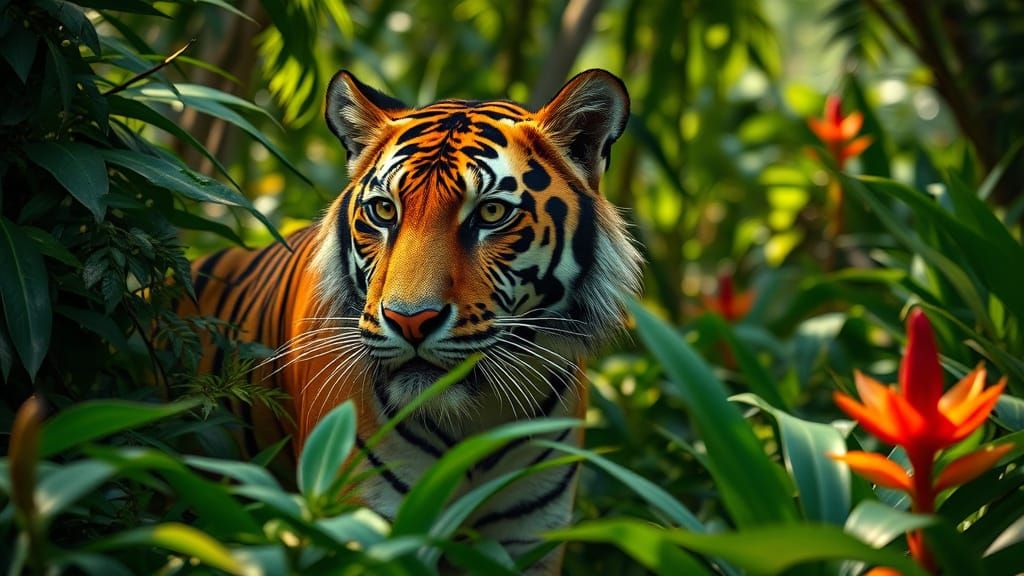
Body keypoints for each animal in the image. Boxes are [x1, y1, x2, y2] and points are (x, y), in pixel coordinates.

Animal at [185, 68, 641, 573]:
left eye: (491, 212)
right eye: (385, 210)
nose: (410, 321)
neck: (475, 417)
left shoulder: (529, 537)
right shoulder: (359, 519)